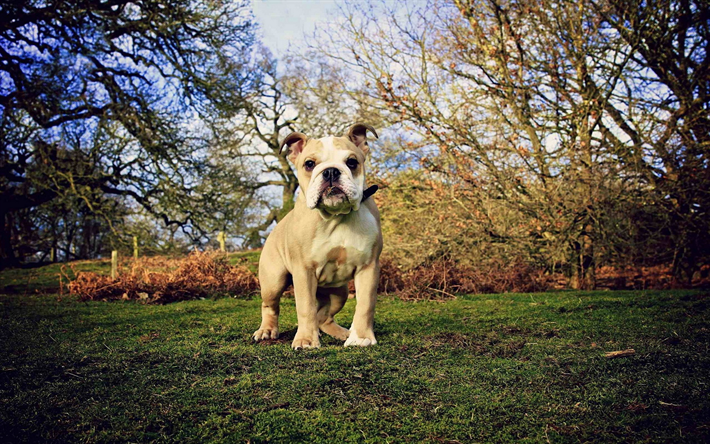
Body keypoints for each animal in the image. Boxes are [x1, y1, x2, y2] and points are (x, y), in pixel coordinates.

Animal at [252, 123, 384, 348]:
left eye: (352, 162)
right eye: (309, 164)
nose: (330, 171)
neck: (335, 216)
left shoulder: (368, 268)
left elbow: (365, 305)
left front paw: (361, 338)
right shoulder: (304, 271)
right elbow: (306, 307)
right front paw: (306, 340)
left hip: (339, 293)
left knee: (324, 316)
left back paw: (342, 333)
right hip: (273, 281)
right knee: (270, 306)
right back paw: (267, 330)